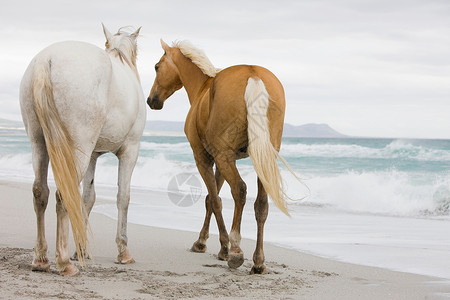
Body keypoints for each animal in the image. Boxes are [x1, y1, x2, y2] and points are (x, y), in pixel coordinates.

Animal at [19, 24, 146, 276]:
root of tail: (46, 59)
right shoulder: (130, 151)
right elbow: (123, 197)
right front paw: (123, 252)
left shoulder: (93, 156)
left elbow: (88, 198)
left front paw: (81, 249)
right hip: (78, 149)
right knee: (63, 195)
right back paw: (64, 263)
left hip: (39, 144)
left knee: (40, 192)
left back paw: (41, 259)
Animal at [147, 40, 288, 274]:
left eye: (157, 67)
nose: (151, 100)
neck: (204, 88)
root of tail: (253, 74)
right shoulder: (223, 162)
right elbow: (210, 200)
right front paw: (205, 241)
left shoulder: (204, 158)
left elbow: (214, 200)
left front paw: (218, 246)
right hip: (261, 158)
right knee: (261, 204)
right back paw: (258, 261)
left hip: (225, 157)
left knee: (239, 190)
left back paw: (236, 250)